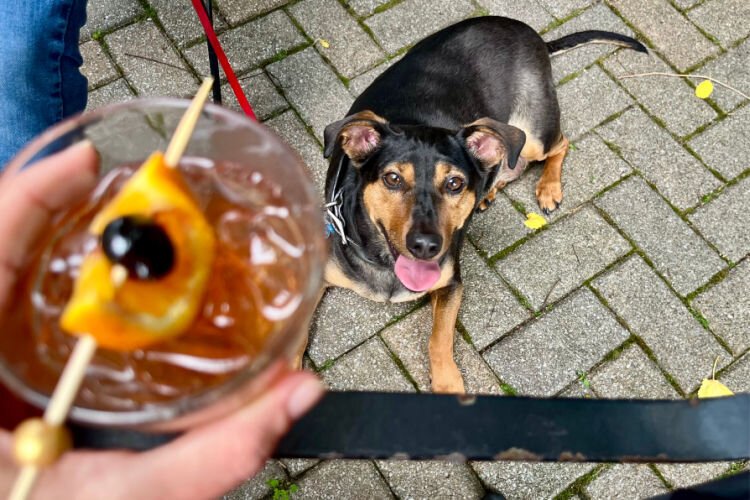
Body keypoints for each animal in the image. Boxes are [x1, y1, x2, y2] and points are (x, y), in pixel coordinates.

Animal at [302, 15, 648, 392]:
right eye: (392, 178)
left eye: (454, 183)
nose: (425, 246)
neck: (384, 263)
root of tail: (528, 31)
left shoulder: (451, 283)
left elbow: (439, 337)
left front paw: (447, 381)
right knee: (508, 162)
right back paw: (490, 191)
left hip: (533, 132)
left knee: (559, 144)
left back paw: (548, 187)